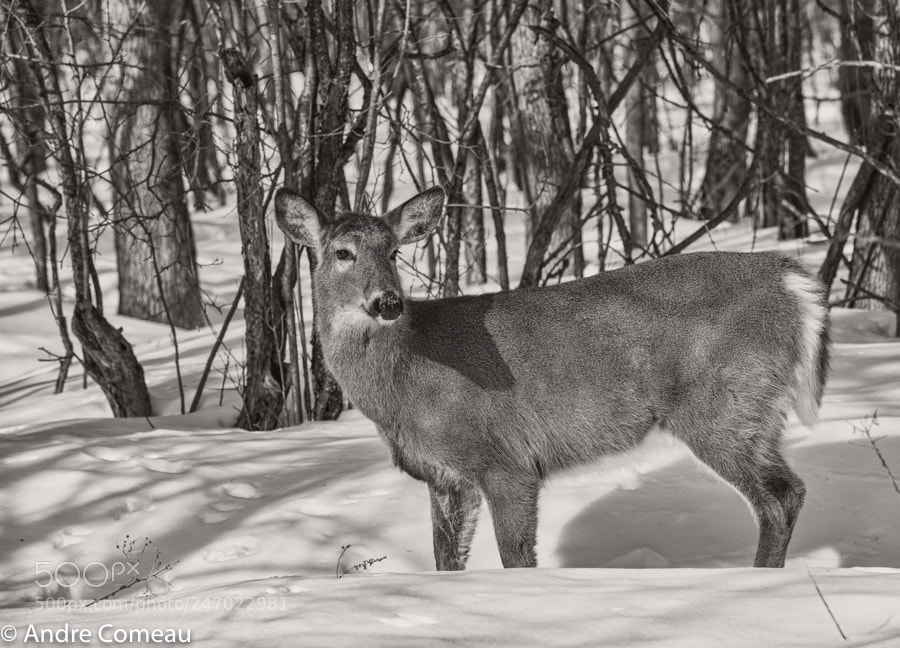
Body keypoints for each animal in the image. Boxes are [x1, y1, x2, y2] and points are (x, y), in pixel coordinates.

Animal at [274, 185, 831, 570]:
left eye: (393, 252)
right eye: (342, 253)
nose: (387, 302)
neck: (407, 381)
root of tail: (791, 281)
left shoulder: (505, 460)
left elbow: (516, 558)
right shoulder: (445, 476)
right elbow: (447, 560)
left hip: (722, 405)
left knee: (778, 500)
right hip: (754, 411)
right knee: (790, 492)